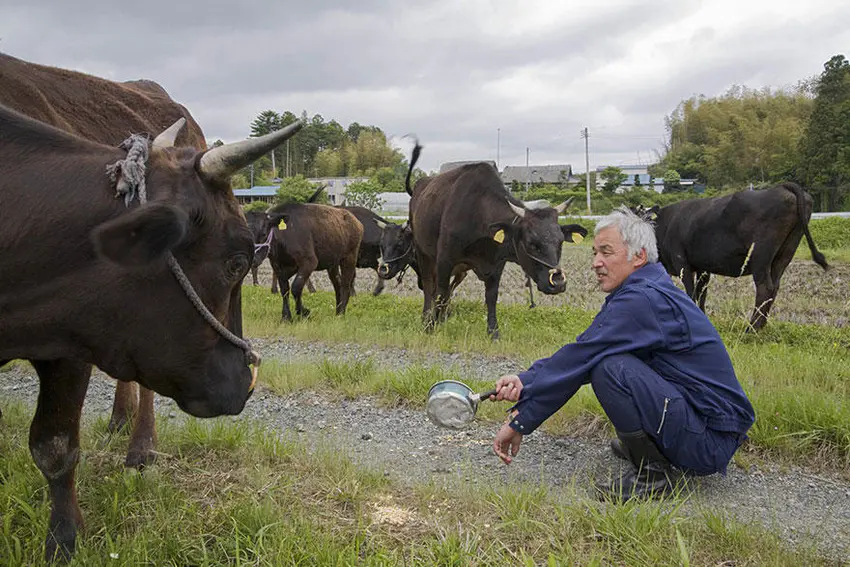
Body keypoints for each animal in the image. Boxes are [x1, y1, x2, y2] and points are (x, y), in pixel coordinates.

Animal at [402, 143, 584, 338]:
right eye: (531, 243)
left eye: (560, 242)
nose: (558, 283)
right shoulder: (445, 259)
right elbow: (441, 293)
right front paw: (431, 326)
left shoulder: (496, 265)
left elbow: (491, 297)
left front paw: (493, 332)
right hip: (423, 252)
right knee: (429, 286)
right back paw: (426, 316)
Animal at [648, 183, 828, 328]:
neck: (666, 224)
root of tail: (782, 187)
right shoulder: (703, 268)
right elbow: (701, 295)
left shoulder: (682, 263)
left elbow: (691, 293)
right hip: (785, 253)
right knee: (775, 287)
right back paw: (761, 326)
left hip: (761, 257)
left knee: (765, 288)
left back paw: (752, 328)